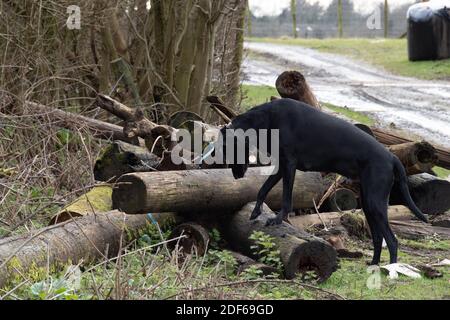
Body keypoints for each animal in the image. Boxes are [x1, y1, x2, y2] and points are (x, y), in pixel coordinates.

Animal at [221, 99, 428, 266]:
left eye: (226, 149)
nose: (236, 176)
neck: (267, 119)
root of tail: (392, 157)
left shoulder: (289, 165)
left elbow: (286, 198)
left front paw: (278, 219)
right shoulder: (281, 167)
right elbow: (263, 189)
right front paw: (256, 211)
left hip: (375, 203)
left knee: (392, 240)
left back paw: (391, 270)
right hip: (369, 204)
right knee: (378, 238)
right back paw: (374, 265)